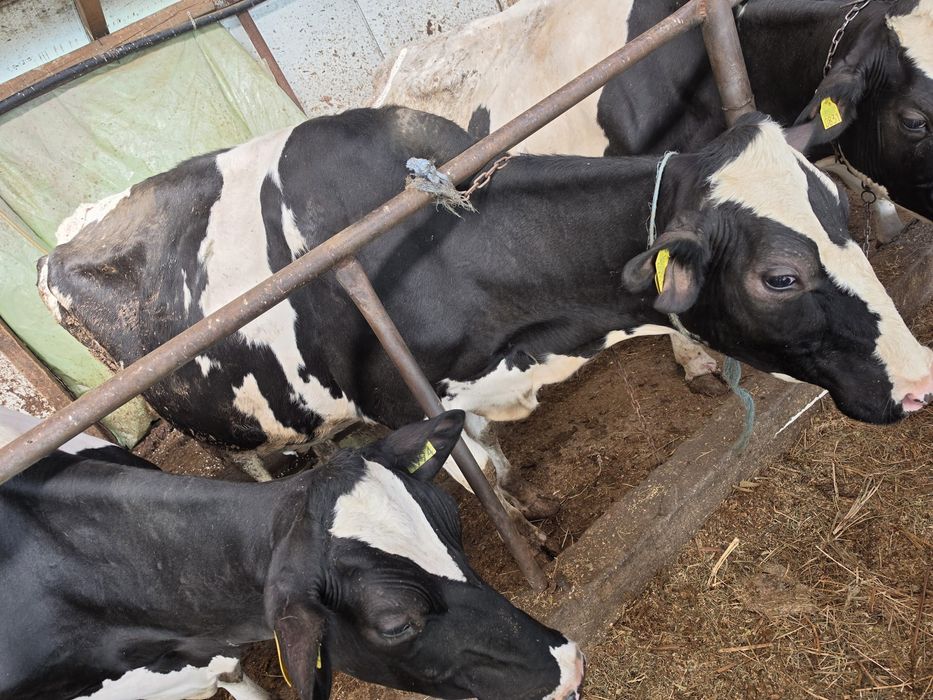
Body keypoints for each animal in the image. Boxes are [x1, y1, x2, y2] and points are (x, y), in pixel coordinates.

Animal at [38, 107, 933, 525]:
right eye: (780, 277)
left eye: (840, 212)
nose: (921, 379)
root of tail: (65, 236)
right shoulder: (406, 401)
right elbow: (482, 478)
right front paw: (529, 528)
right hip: (183, 411)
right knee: (242, 458)